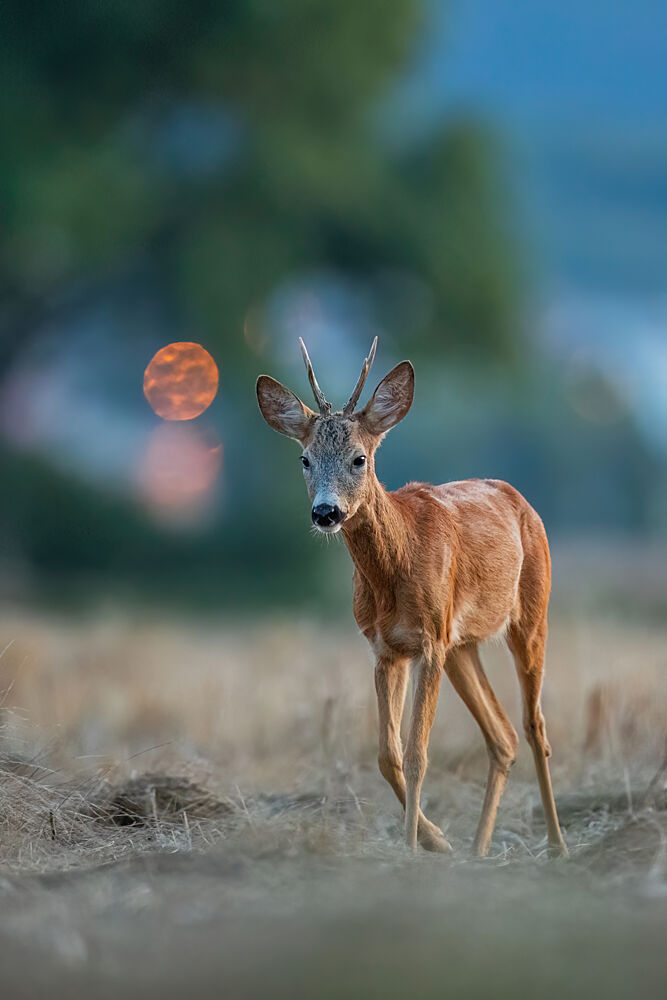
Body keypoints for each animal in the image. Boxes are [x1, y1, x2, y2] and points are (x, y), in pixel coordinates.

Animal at [256, 338, 568, 858]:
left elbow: (419, 753)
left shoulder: (428, 642)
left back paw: (559, 845)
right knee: (502, 736)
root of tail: (521, 499)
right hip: (462, 645)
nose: (326, 512)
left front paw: (410, 849)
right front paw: (436, 840)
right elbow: (389, 756)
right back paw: (478, 849)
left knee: (535, 726)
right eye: (304, 459)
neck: (395, 570)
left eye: (359, 458)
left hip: (529, 614)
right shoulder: (387, 648)